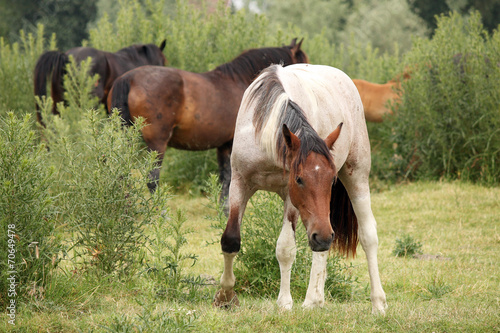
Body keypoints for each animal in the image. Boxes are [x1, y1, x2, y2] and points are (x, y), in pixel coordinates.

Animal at [107, 38, 306, 205]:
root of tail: (128, 79)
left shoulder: (223, 145)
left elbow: (224, 179)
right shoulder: (231, 144)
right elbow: (229, 180)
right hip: (156, 144)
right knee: (152, 179)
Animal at [213, 63, 388, 314]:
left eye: (332, 180)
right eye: (299, 179)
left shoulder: (290, 198)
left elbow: (285, 248)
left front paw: (284, 302)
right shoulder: (239, 182)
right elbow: (230, 239)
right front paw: (225, 297)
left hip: (357, 178)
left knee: (366, 236)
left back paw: (377, 303)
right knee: (322, 245)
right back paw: (315, 299)